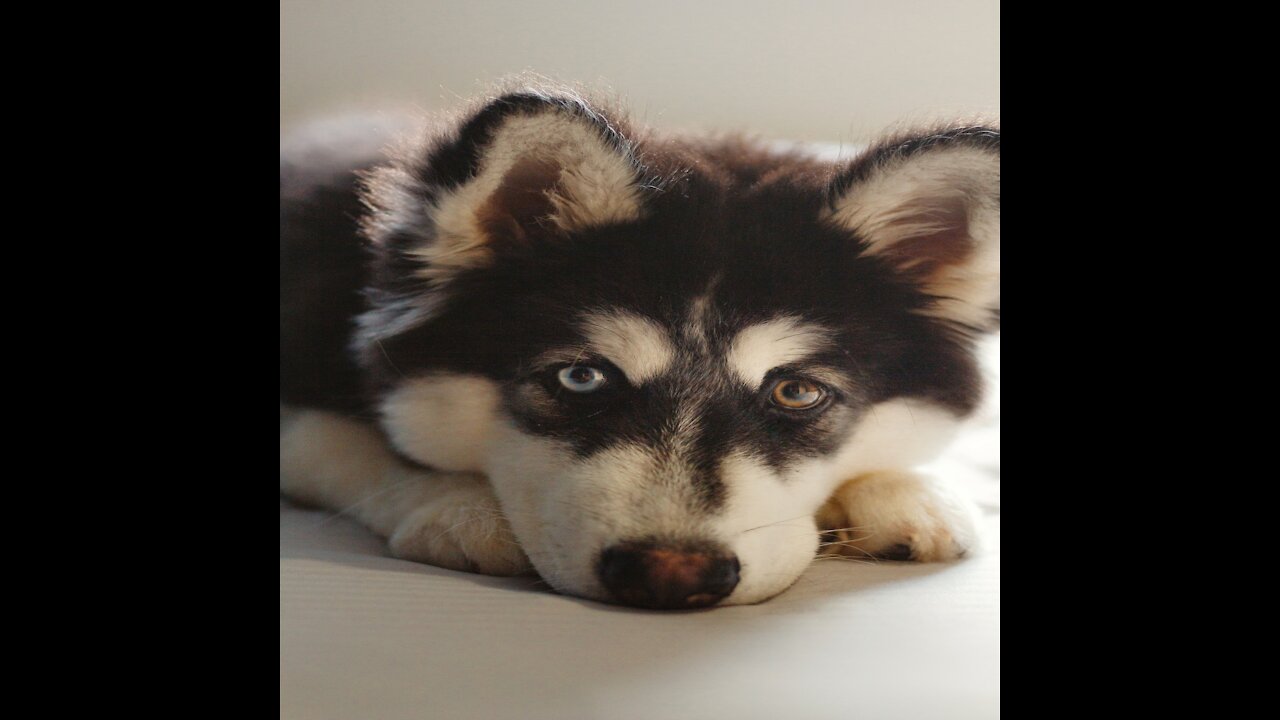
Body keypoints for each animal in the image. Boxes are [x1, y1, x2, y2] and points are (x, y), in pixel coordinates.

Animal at [280, 87, 998, 607]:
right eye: (581, 378)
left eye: (797, 392)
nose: (671, 573)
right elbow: (354, 447)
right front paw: (457, 505)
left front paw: (909, 489)